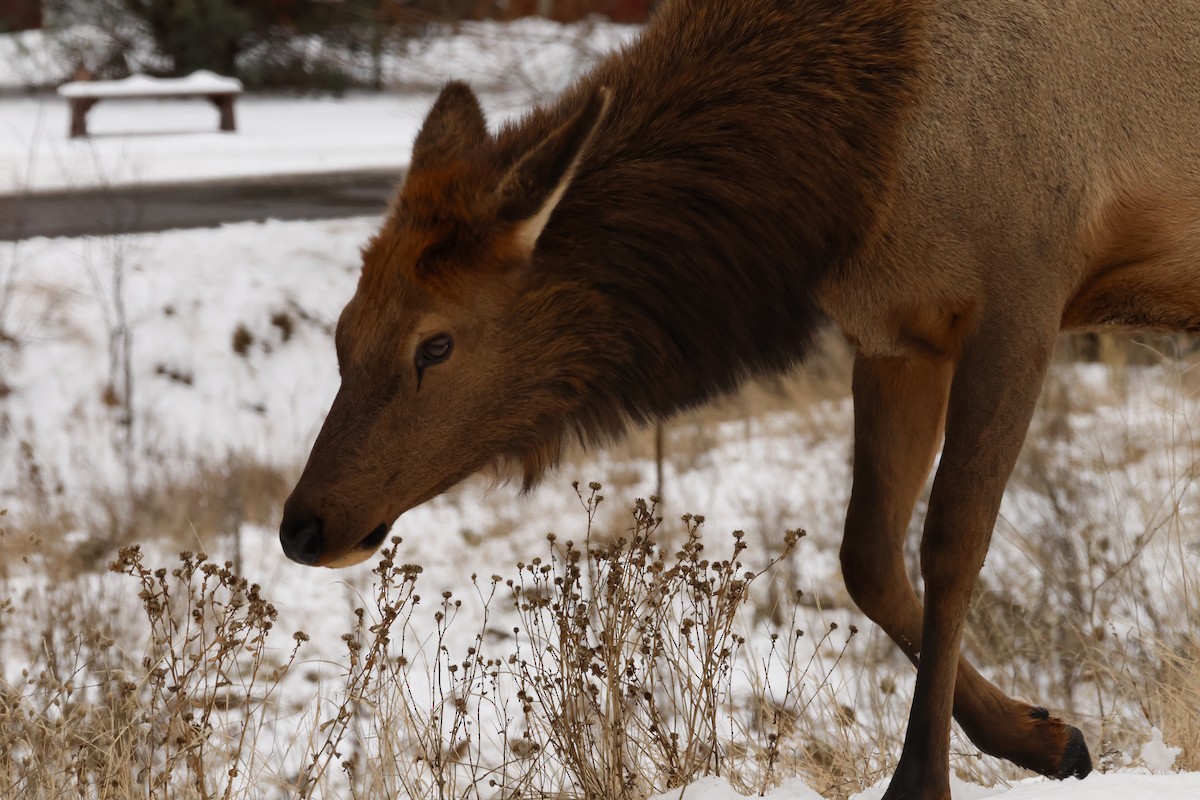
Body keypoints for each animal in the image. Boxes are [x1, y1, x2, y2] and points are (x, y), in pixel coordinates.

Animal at [279, 0, 1200, 797]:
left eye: (435, 343)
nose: (303, 526)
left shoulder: (1023, 291)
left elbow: (953, 542)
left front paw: (923, 782)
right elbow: (867, 557)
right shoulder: (897, 330)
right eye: (343, 330)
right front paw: (1047, 736)